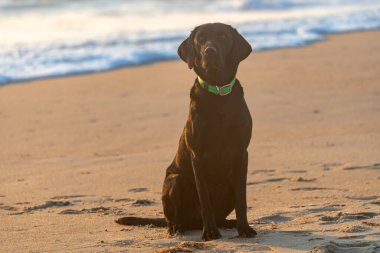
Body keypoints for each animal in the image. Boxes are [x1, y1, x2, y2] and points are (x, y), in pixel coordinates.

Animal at [116, 23, 255, 241]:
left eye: (223, 37)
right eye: (201, 39)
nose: (209, 51)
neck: (218, 94)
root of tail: (193, 222)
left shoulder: (241, 153)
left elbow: (242, 198)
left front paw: (244, 228)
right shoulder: (197, 155)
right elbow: (204, 199)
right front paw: (210, 232)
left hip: (229, 183)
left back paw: (229, 224)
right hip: (175, 181)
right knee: (173, 218)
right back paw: (178, 228)